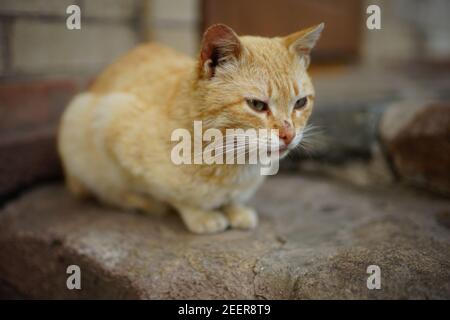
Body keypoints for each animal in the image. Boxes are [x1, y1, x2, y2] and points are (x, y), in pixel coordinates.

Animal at [59, 22, 324, 232]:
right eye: (257, 105)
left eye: (300, 103)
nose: (289, 134)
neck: (233, 160)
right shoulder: (111, 119)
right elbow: (174, 196)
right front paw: (201, 215)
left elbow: (232, 201)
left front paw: (235, 209)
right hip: (78, 121)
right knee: (107, 192)